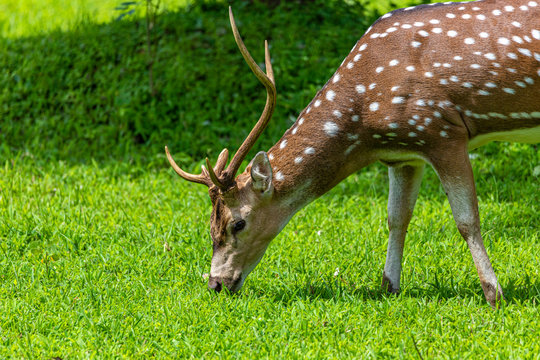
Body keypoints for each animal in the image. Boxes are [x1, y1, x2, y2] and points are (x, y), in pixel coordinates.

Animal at [167, 2, 536, 306]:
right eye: (209, 224)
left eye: (238, 223)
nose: (216, 284)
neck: (366, 126)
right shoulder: (404, 153)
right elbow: (396, 218)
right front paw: (388, 286)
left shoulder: (443, 131)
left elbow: (466, 220)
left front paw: (494, 295)